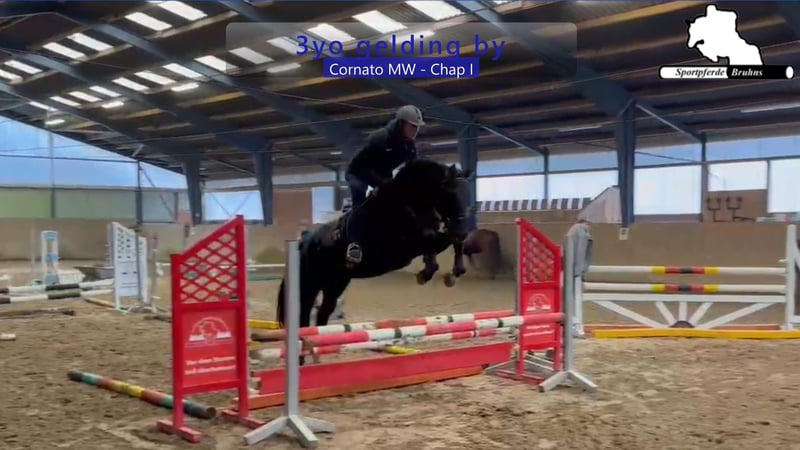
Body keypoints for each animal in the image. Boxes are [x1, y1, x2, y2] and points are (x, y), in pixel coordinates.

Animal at [276, 159, 473, 329]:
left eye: (467, 192)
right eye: (450, 192)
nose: (462, 228)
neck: (408, 201)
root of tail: (303, 242)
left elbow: (448, 241)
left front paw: (454, 272)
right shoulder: (406, 246)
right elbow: (439, 241)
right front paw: (428, 274)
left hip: (336, 282)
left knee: (324, 312)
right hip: (310, 283)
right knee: (303, 312)